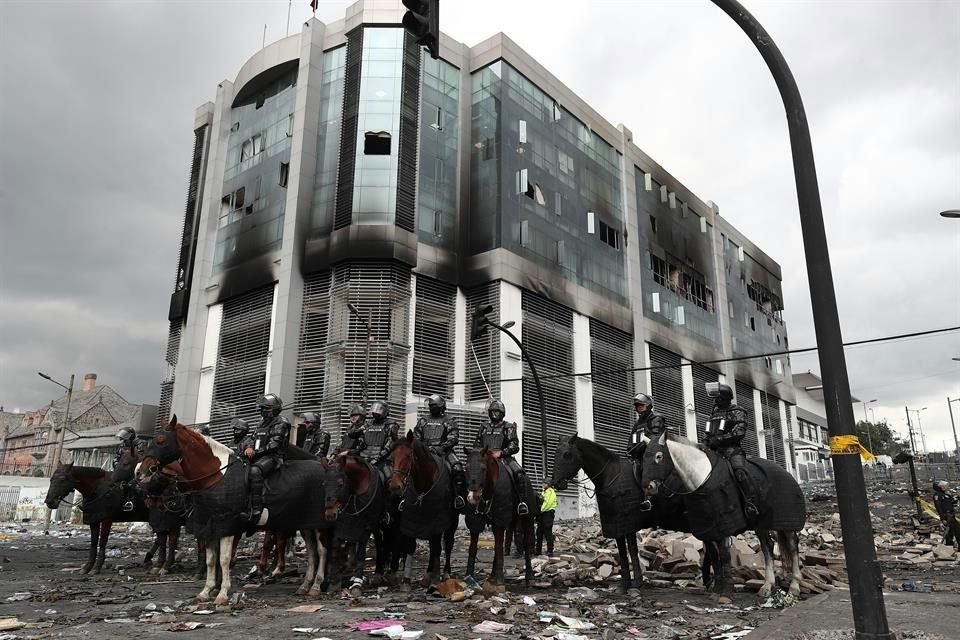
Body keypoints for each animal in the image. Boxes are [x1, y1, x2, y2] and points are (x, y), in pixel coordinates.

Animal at [137, 416, 334, 604]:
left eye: (161, 441)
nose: (139, 472)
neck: (217, 476)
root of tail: (324, 467)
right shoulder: (210, 527)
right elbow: (211, 560)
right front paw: (206, 591)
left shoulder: (227, 526)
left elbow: (224, 559)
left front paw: (222, 593)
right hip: (305, 523)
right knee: (311, 550)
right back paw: (305, 585)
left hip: (319, 522)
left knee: (322, 550)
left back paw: (315, 586)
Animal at [388, 432, 460, 588]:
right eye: (391, 458)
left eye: (408, 456)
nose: (395, 487)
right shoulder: (412, 518)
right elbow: (410, 545)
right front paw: (406, 581)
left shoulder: (439, 520)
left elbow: (437, 547)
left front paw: (433, 578)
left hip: (453, 521)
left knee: (448, 544)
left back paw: (445, 573)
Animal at [548, 436, 720, 596]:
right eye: (556, 453)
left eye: (567, 454)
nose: (556, 482)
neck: (611, 476)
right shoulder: (617, 526)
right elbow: (623, 553)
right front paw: (624, 583)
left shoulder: (628, 525)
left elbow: (631, 550)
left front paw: (636, 582)